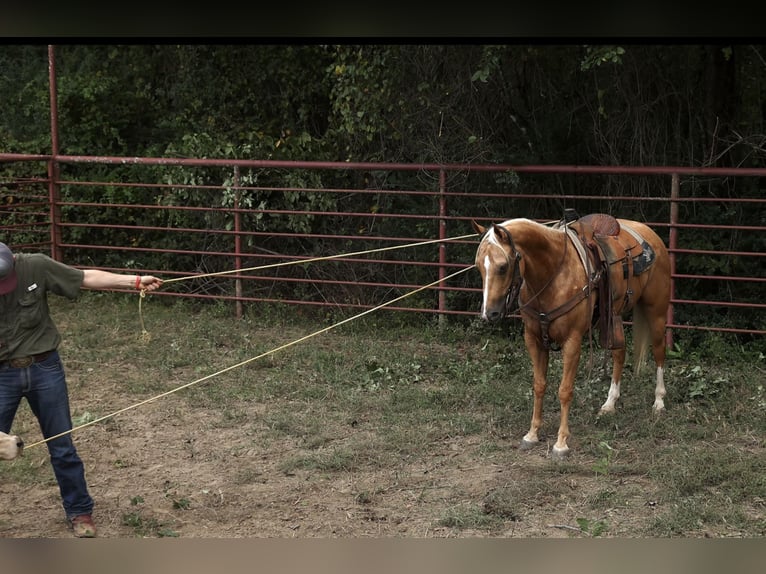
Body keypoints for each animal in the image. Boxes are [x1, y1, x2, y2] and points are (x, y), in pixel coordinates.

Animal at [471, 213, 671, 458]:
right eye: (478, 267)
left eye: (502, 266)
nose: (489, 314)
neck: (553, 273)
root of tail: (651, 234)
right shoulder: (534, 340)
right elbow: (539, 385)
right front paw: (532, 434)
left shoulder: (573, 341)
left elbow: (565, 391)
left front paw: (561, 443)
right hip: (613, 317)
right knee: (619, 354)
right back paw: (609, 403)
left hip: (656, 312)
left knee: (659, 351)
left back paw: (659, 402)